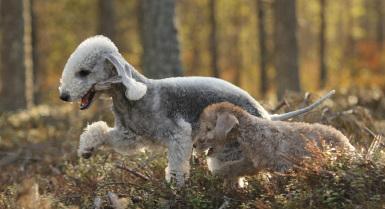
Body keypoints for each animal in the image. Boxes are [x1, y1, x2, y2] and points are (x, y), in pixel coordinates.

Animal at [59, 35, 328, 185]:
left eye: (83, 72)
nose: (63, 96)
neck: (130, 98)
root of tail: (264, 113)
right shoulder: (131, 135)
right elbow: (101, 130)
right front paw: (86, 149)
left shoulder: (178, 135)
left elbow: (177, 166)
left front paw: (176, 189)